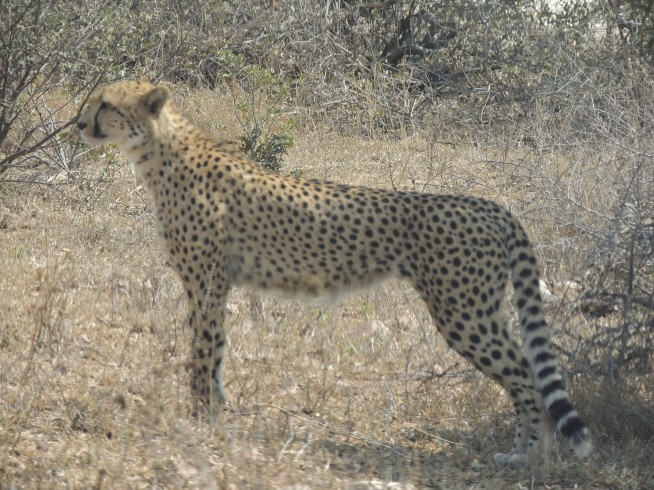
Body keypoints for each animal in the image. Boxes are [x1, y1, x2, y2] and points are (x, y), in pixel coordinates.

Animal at [76, 80, 591, 467]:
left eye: (107, 105)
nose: (80, 123)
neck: (160, 151)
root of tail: (490, 206)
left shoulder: (204, 283)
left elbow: (202, 353)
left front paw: (199, 418)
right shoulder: (217, 286)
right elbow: (218, 349)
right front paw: (218, 414)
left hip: (464, 313)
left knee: (526, 376)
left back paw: (528, 455)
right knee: (528, 372)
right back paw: (526, 451)